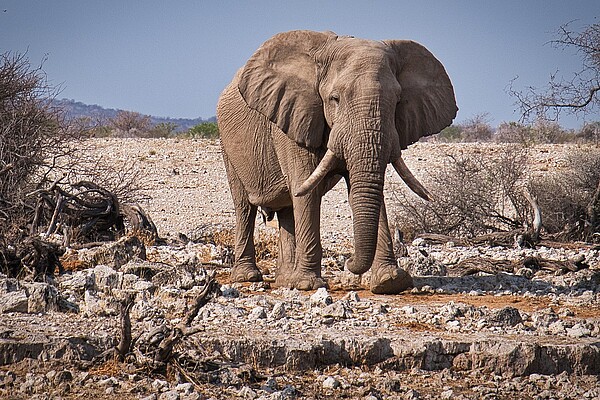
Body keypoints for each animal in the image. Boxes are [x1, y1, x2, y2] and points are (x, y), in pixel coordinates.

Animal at [218, 30, 458, 294]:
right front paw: (308, 285)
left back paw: (284, 280)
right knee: (244, 207)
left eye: (397, 102)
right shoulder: (294, 117)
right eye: (335, 98)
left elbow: (362, 190)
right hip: (227, 145)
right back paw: (248, 277)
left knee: (287, 209)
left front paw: (391, 281)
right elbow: (306, 190)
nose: (350, 262)